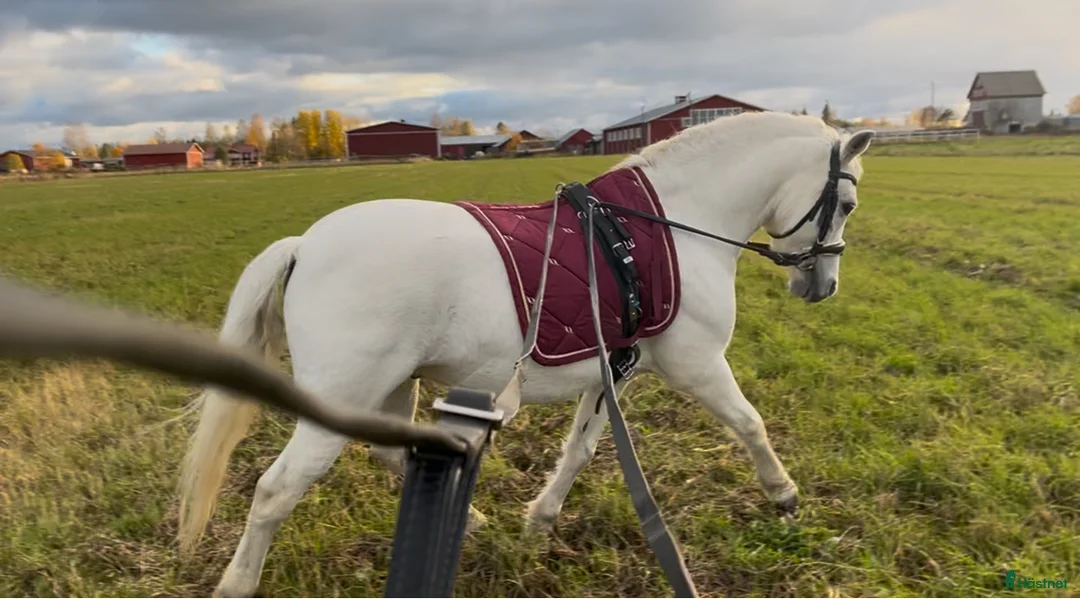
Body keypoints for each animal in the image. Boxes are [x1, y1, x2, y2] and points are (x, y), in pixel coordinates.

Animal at [177, 111, 875, 597]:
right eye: (846, 203)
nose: (822, 286)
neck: (673, 228)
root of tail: (305, 245)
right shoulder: (697, 366)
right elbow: (749, 423)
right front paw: (782, 494)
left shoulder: (612, 373)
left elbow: (581, 450)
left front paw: (538, 520)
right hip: (340, 397)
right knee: (276, 490)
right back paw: (237, 583)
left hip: (391, 387)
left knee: (391, 450)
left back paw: (476, 522)